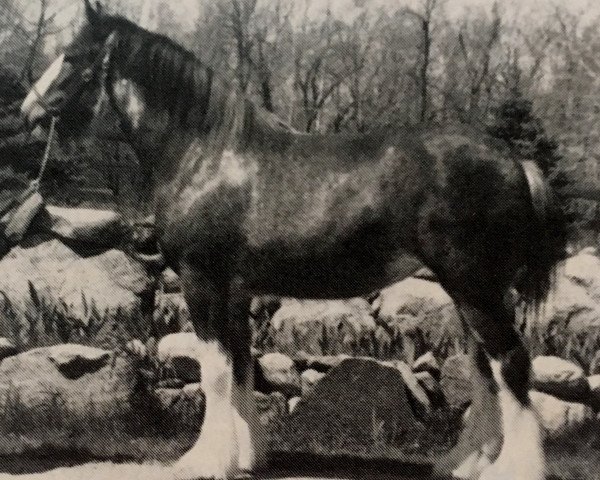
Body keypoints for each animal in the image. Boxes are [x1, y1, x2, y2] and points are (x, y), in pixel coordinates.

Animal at [21, 1, 568, 478]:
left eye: (73, 56)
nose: (27, 112)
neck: (205, 154)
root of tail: (515, 161)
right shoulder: (235, 291)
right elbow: (240, 366)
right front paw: (245, 458)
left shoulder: (202, 280)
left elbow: (213, 370)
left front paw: (204, 461)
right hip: (473, 292)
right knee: (485, 370)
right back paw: (463, 463)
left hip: (474, 286)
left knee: (511, 365)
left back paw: (514, 469)